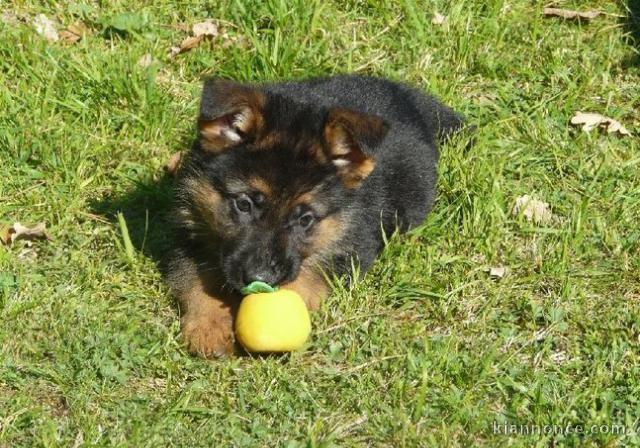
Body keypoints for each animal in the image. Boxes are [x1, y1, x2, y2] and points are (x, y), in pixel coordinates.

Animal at [165, 74, 464, 356]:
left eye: (305, 219)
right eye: (244, 204)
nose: (261, 279)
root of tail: (407, 97)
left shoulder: (352, 242)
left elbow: (309, 277)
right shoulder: (187, 229)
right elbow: (195, 280)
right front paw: (209, 327)